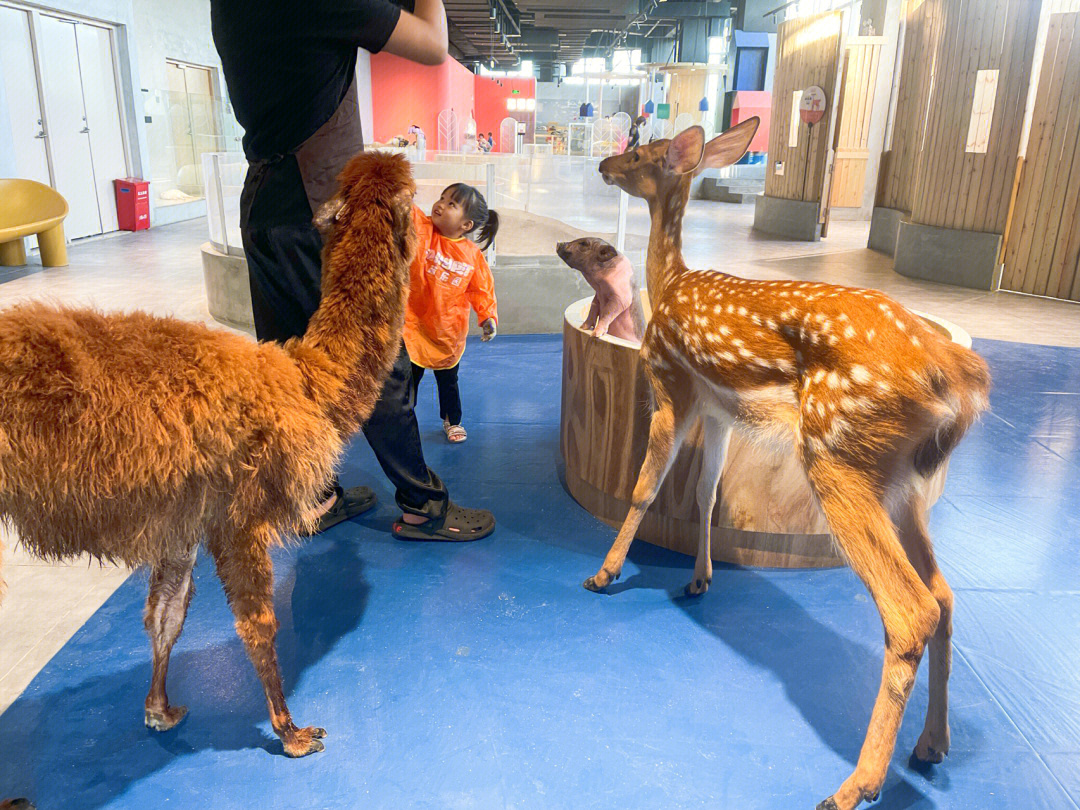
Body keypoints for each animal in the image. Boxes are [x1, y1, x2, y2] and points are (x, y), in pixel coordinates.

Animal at [587, 122, 989, 810]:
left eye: (640, 152)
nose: (604, 165)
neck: (667, 287)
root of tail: (955, 376)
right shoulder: (719, 410)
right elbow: (706, 492)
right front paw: (699, 578)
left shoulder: (670, 383)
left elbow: (644, 488)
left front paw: (605, 573)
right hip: (904, 482)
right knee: (943, 594)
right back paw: (932, 744)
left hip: (838, 453)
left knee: (911, 609)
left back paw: (856, 784)